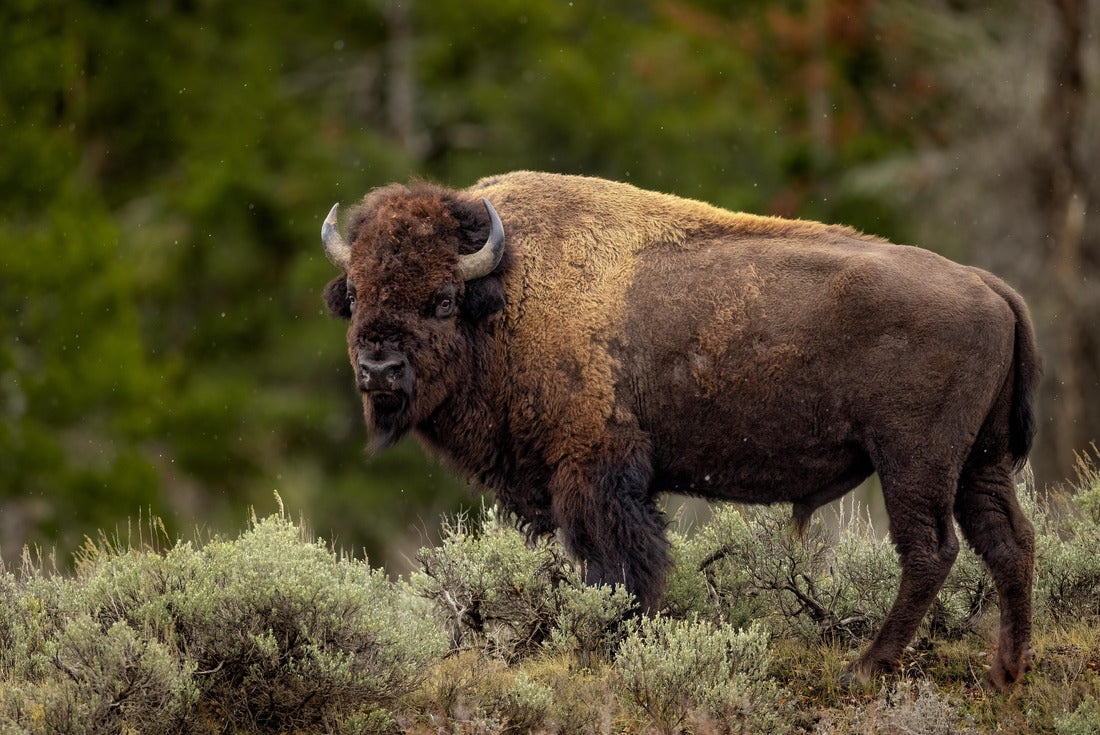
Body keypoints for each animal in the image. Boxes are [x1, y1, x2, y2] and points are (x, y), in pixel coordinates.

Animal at [321, 171, 1039, 688]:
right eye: (353, 294)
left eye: (442, 299)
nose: (378, 368)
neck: (508, 292)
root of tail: (988, 284)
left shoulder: (594, 472)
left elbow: (619, 566)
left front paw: (610, 644)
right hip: (980, 461)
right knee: (1010, 541)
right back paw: (1007, 671)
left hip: (914, 460)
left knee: (931, 550)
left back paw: (863, 669)